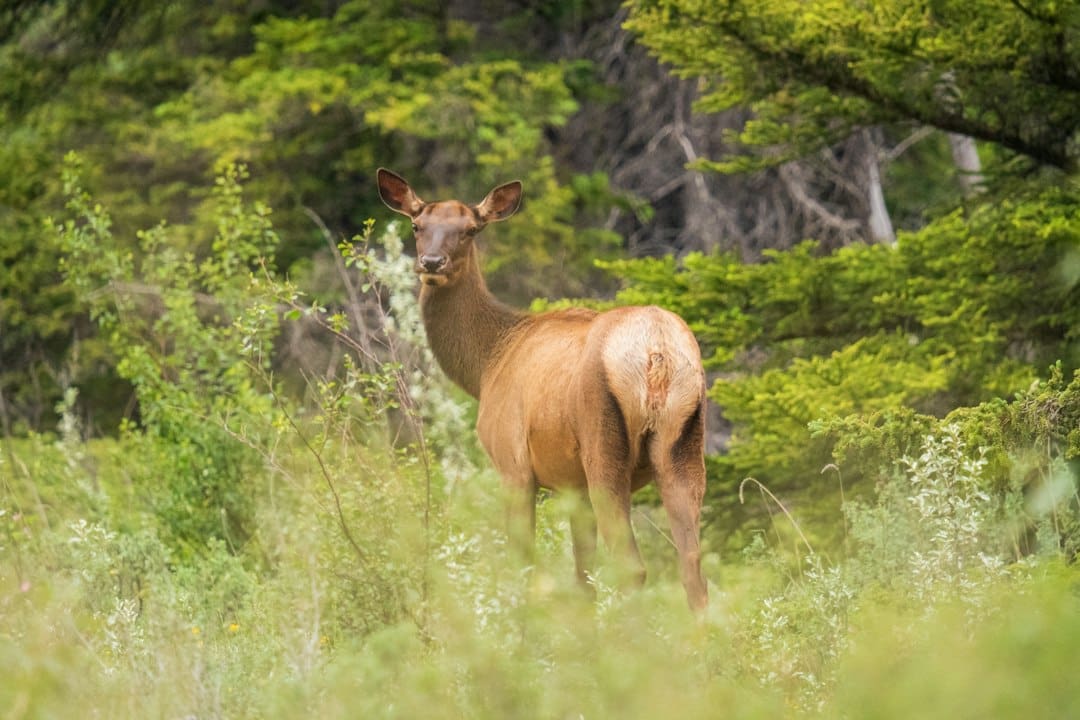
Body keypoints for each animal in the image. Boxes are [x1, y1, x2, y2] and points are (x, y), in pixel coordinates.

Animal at [378, 170, 708, 613]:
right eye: (417, 225)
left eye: (470, 230)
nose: (431, 263)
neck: (487, 364)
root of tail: (657, 353)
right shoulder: (573, 486)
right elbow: (583, 576)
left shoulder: (512, 463)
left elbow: (523, 564)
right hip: (684, 444)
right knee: (693, 570)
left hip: (603, 446)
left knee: (632, 567)